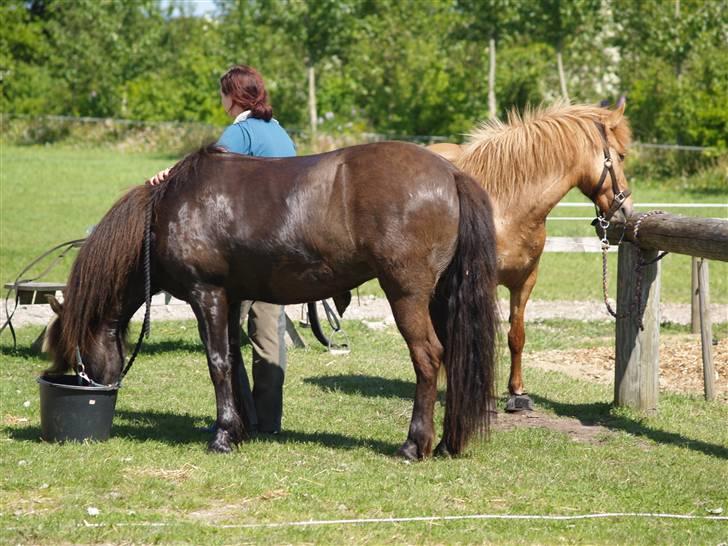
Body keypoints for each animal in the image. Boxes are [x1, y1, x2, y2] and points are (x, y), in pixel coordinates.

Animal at [44, 141, 500, 460]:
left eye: (73, 350)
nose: (77, 383)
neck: (166, 212)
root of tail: (450, 173)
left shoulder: (206, 294)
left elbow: (217, 362)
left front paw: (223, 436)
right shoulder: (231, 299)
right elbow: (234, 361)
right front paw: (239, 429)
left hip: (406, 294)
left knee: (428, 357)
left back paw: (413, 445)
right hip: (439, 298)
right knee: (454, 356)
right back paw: (446, 443)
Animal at [426, 103, 632, 408]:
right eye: (619, 156)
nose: (626, 211)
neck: (506, 209)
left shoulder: (525, 281)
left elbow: (516, 336)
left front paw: (516, 392)